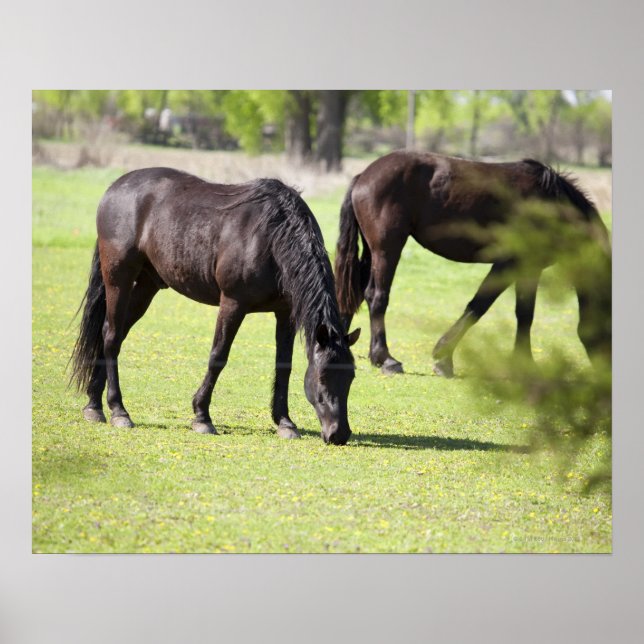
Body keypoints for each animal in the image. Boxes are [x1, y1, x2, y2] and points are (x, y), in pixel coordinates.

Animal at [70, 168, 360, 445]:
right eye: (322, 378)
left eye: (351, 378)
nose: (339, 433)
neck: (271, 236)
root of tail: (115, 188)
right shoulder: (233, 303)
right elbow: (218, 356)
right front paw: (202, 416)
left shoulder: (285, 312)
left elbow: (283, 365)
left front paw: (285, 422)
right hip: (118, 279)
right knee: (111, 336)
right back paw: (118, 410)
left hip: (146, 285)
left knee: (112, 334)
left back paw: (94, 404)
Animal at [334, 150, 611, 377]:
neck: (551, 205)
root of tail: (364, 176)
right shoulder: (507, 264)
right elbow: (479, 305)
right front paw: (443, 357)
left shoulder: (530, 267)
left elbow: (524, 314)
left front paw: (524, 363)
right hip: (387, 250)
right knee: (376, 296)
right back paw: (386, 359)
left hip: (372, 252)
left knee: (353, 293)